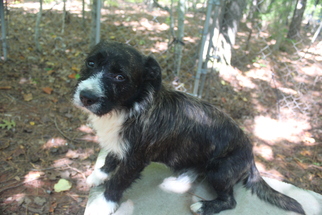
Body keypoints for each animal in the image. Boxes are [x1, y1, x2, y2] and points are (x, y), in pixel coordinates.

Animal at [73, 41, 304, 215]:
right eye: (90, 63)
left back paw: (203, 206)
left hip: (219, 171)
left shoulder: (135, 159)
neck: (128, 107)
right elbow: (110, 160)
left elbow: (118, 181)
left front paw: (104, 204)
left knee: (230, 201)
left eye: (120, 77)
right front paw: (99, 175)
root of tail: (251, 156)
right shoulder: (119, 144)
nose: (86, 97)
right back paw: (180, 180)